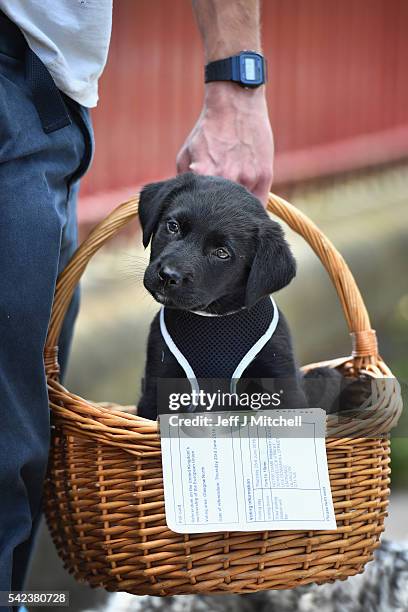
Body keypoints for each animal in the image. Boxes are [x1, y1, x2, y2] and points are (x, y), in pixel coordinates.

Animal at [137, 173, 328, 420]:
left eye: (222, 253)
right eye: (173, 226)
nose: (168, 275)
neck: (214, 317)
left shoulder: (281, 382)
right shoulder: (157, 384)